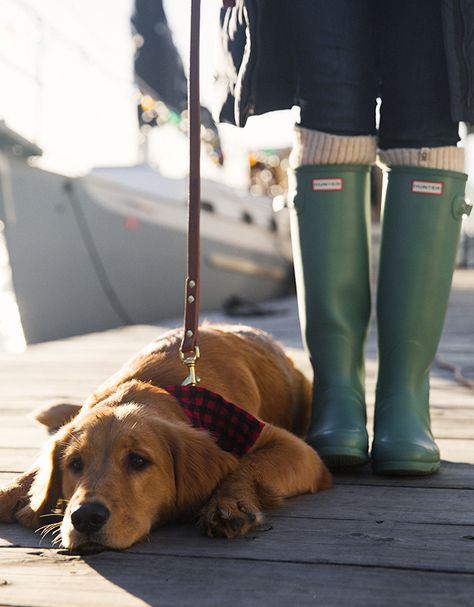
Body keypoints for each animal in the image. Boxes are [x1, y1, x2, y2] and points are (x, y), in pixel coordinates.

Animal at [0, 326, 332, 552]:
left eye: (138, 460)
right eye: (75, 464)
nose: (86, 517)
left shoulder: (292, 446)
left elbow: (247, 466)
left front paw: (229, 502)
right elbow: (31, 474)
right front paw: (12, 494)